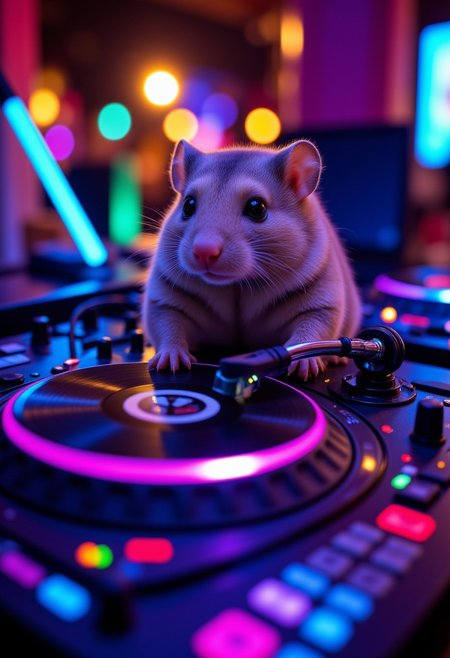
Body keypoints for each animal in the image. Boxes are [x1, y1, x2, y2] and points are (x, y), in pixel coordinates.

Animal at [142, 139, 361, 380]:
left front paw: (303, 370)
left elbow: (311, 331)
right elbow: (168, 326)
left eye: (257, 208)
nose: (203, 252)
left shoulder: (323, 302)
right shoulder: (163, 298)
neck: (236, 286)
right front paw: (169, 363)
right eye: (188, 205)